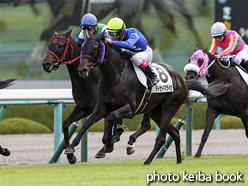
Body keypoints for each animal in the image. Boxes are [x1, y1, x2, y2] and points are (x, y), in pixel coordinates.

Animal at [64, 31, 223, 165]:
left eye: (96, 47)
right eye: (83, 48)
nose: (82, 69)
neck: (115, 76)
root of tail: (182, 80)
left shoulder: (129, 108)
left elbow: (111, 117)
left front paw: (108, 145)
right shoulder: (101, 106)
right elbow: (88, 122)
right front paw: (71, 149)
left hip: (169, 108)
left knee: (161, 138)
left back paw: (148, 161)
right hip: (155, 111)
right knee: (175, 133)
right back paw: (178, 161)